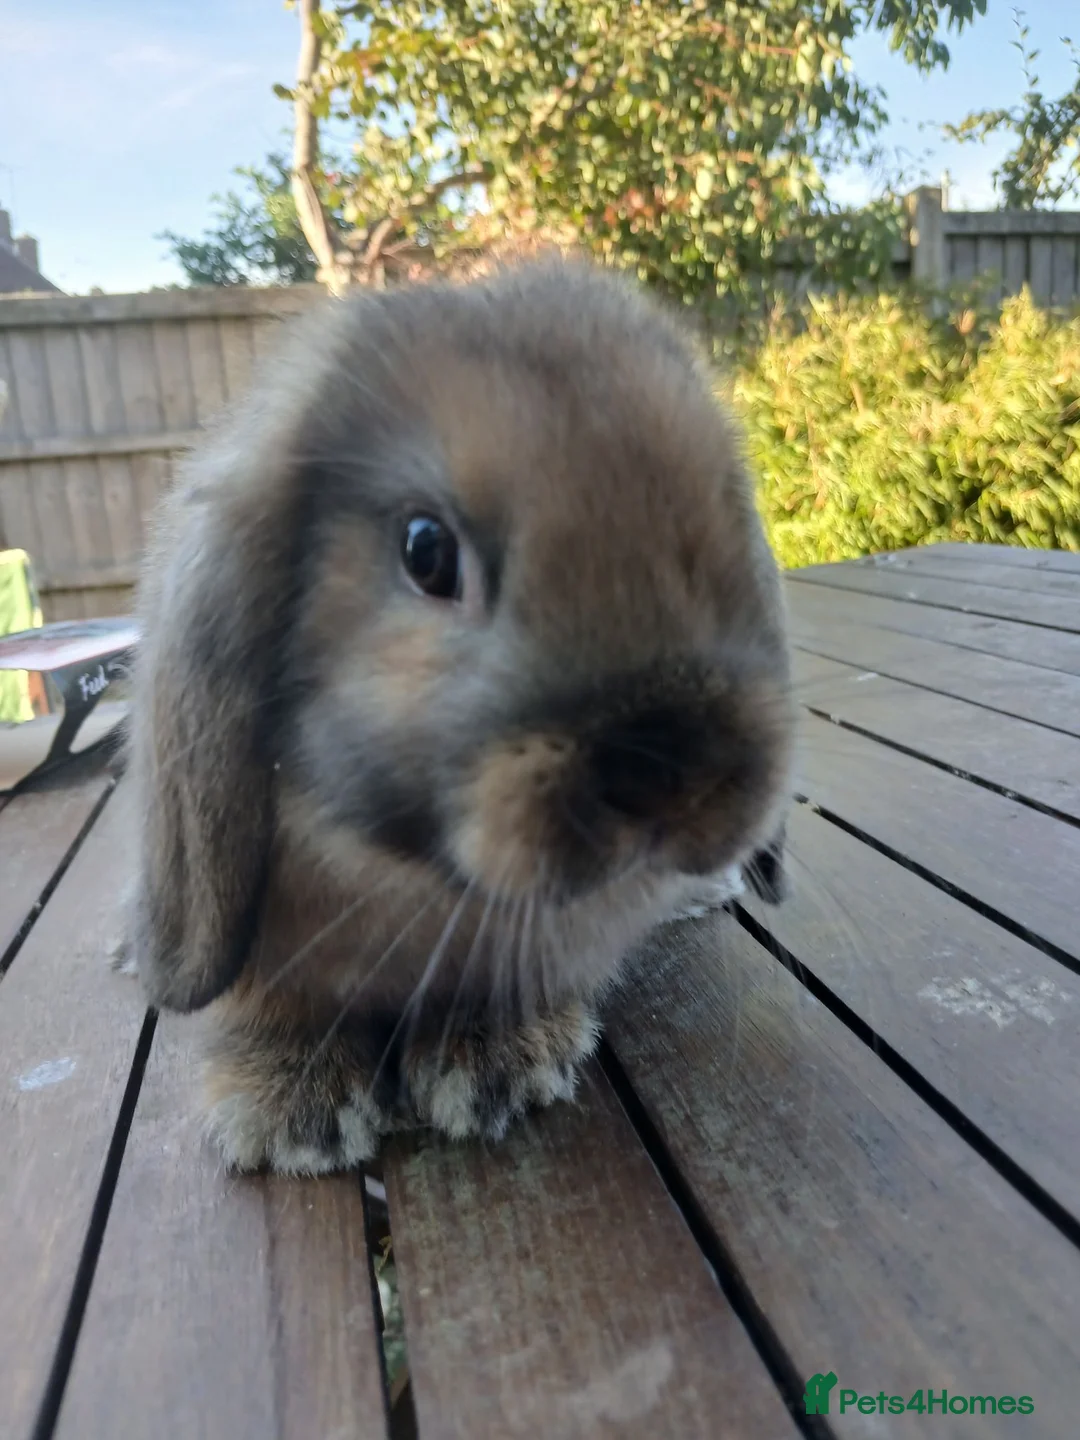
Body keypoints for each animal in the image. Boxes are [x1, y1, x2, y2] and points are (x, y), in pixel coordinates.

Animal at [127, 257, 795, 1175]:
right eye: (426, 551)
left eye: (724, 517)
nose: (673, 771)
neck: (418, 881)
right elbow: (265, 998)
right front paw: (294, 1112)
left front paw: (493, 1066)